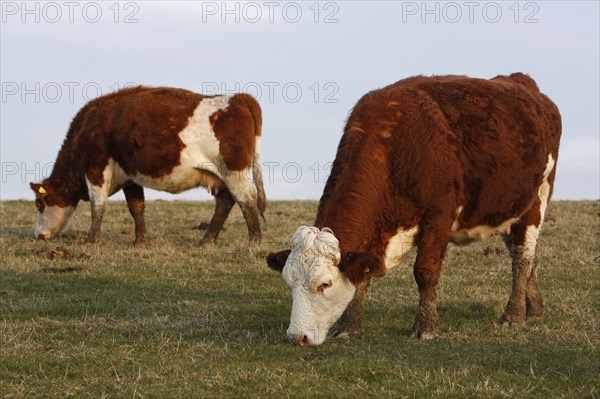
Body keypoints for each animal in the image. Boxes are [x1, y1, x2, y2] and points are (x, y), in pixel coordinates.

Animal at [30, 86, 264, 245]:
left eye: (39, 203)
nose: (38, 235)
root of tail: (238, 98)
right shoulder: (130, 176)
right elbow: (136, 207)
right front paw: (140, 240)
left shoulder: (96, 171)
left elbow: (98, 207)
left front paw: (91, 240)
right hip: (221, 175)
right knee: (225, 202)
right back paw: (206, 241)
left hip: (234, 171)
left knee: (247, 200)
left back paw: (253, 241)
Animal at [268, 73, 564, 346]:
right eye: (288, 282)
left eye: (325, 283)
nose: (297, 336)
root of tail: (521, 81)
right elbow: (362, 278)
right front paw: (349, 327)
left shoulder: (438, 218)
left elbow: (425, 272)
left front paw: (426, 327)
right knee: (523, 253)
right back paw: (534, 308)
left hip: (538, 198)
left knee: (523, 256)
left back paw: (514, 313)